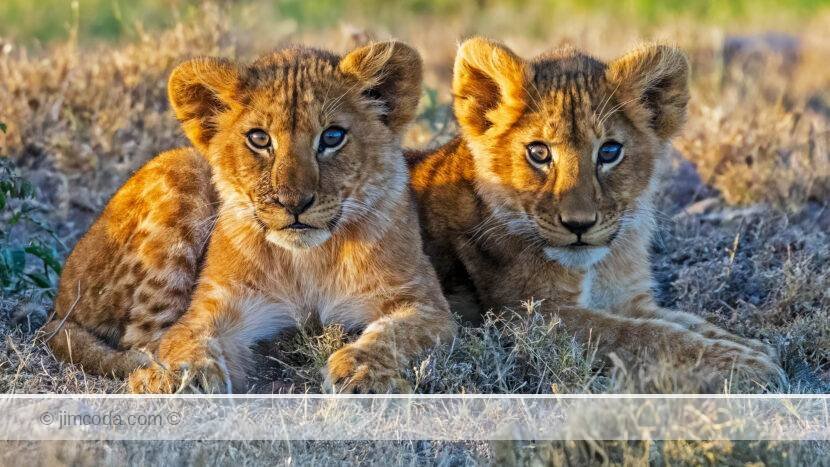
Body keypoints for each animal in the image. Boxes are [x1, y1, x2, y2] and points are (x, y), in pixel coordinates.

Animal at [42, 41, 454, 393]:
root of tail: (61, 294)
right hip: (183, 164)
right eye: (259, 139)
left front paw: (360, 371)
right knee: (143, 340)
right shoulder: (214, 305)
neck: (308, 261)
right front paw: (187, 375)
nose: (293, 204)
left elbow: (393, 334)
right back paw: (152, 378)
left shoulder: (425, 303)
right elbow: (186, 338)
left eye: (332, 136)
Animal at [407, 37, 785, 386]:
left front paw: (750, 346)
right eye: (539, 153)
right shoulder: (529, 317)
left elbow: (684, 322)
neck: (597, 267)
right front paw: (744, 364)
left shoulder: (627, 298)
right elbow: (645, 335)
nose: (579, 224)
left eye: (609, 152)